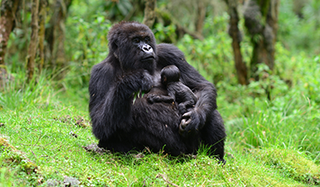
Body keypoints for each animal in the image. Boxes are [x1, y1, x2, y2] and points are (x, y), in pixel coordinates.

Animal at [89, 21, 226, 163]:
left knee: (209, 110)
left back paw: (217, 159)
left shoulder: (170, 52)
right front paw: (134, 79)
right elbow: (99, 123)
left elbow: (202, 86)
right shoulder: (101, 72)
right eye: (136, 40)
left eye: (146, 39)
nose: (147, 48)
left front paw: (195, 116)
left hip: (195, 150)